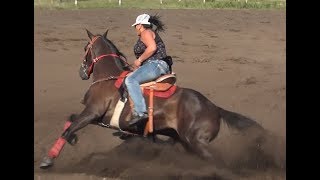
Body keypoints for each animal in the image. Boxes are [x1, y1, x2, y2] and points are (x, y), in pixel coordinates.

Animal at [39, 28, 262, 169]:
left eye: (85, 46)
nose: (81, 72)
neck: (108, 78)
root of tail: (215, 108)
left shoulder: (93, 112)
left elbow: (69, 128)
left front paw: (48, 160)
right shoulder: (95, 117)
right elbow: (70, 121)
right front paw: (72, 140)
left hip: (197, 141)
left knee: (219, 163)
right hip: (185, 141)